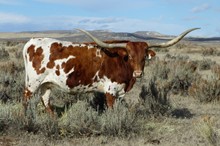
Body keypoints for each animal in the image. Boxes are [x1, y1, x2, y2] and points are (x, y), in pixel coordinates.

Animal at [22, 27, 199, 114]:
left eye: (144, 57)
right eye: (130, 56)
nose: (138, 73)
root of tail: (32, 41)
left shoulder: (120, 91)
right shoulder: (110, 90)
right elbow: (112, 109)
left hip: (46, 84)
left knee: (45, 100)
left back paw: (53, 119)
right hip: (33, 83)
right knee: (25, 100)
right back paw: (25, 119)